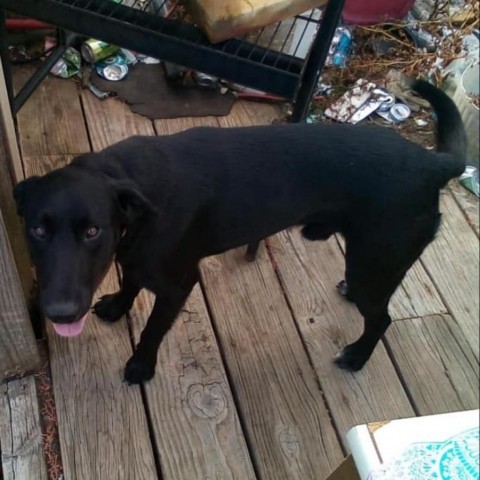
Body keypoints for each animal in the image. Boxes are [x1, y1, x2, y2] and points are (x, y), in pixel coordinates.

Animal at [14, 80, 464, 384]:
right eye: (37, 229)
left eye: (93, 231)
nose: (60, 313)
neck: (128, 182)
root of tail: (433, 163)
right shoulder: (134, 257)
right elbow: (131, 283)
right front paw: (116, 306)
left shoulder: (178, 285)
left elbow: (153, 330)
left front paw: (141, 365)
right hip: (372, 262)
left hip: (377, 258)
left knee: (382, 319)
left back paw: (355, 357)